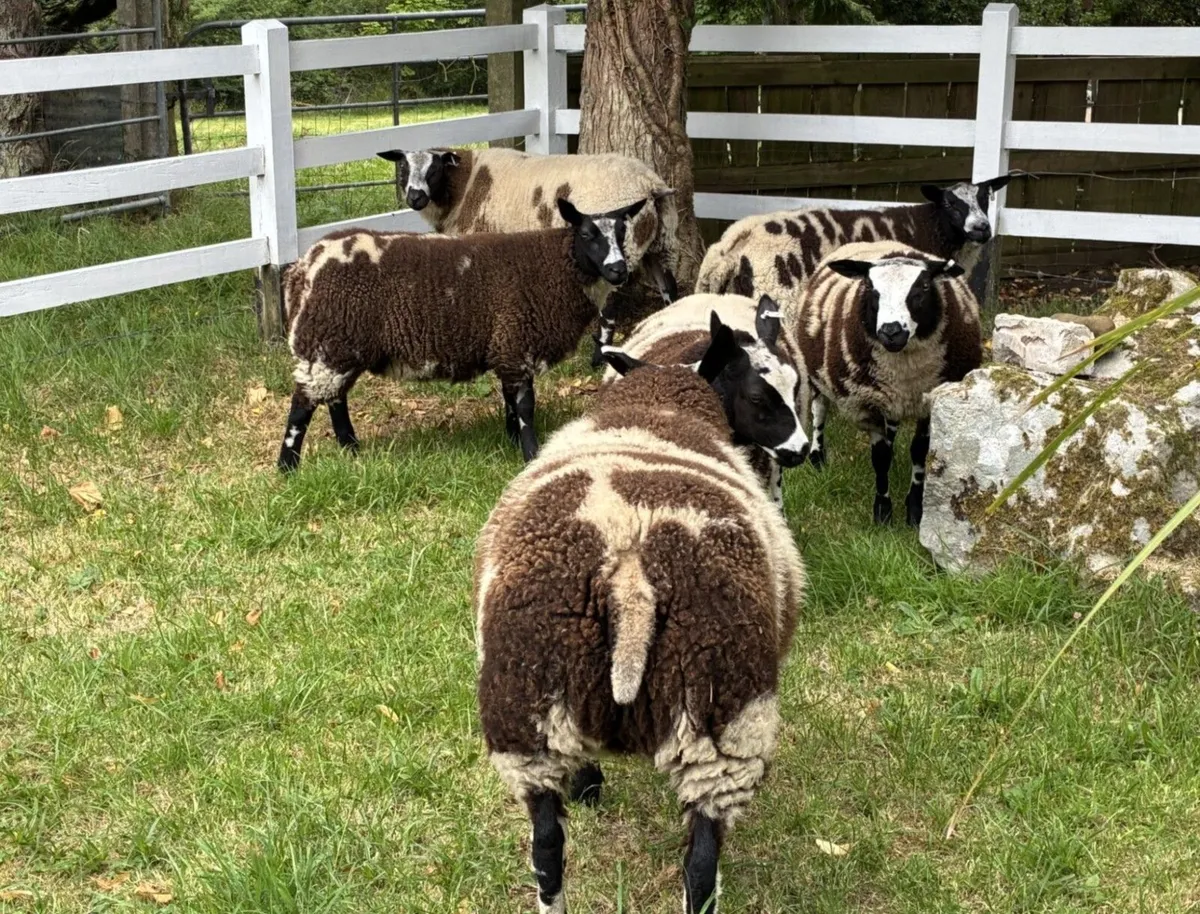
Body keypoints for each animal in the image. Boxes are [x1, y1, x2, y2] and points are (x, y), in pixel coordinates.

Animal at [276, 197, 648, 471]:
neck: (555, 266)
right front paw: (530, 454)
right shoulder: (517, 342)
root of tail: (303, 267)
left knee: (335, 398)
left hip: (340, 345)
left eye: (622, 234)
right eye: (587, 235)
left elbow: (511, 402)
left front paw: (512, 440)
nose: (619, 270)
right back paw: (288, 466)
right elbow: (525, 406)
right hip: (326, 339)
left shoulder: (506, 346)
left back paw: (350, 448)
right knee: (302, 405)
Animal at [378, 146, 680, 362]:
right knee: (669, 286)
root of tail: (650, 184)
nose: (415, 198)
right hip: (658, 243)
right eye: (403, 167)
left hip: (619, 247)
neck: (466, 184)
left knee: (611, 302)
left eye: (435, 170)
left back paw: (599, 357)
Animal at [475, 341, 804, 914]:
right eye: (758, 395)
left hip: (524, 711)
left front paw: (587, 790)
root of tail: (630, 581)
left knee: (546, 847)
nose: (801, 451)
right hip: (729, 718)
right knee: (700, 869)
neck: (657, 406)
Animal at [787, 240, 982, 527]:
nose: (892, 331)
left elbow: (920, 452)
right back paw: (817, 456)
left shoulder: (928, 401)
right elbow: (881, 458)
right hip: (817, 374)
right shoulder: (867, 405)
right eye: (870, 289)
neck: (905, 373)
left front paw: (915, 510)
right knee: (819, 411)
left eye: (924, 287)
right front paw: (882, 512)